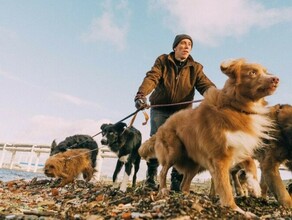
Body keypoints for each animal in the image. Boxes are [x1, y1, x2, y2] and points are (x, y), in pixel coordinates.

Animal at [138, 57, 280, 217]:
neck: (236, 106)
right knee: (163, 172)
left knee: (184, 184)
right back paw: (163, 190)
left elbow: (250, 163)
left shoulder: (238, 147)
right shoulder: (220, 158)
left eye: (265, 72)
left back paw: (188, 198)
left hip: (195, 164)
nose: (276, 79)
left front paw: (254, 186)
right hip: (174, 152)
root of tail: (163, 125)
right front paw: (237, 210)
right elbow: (225, 188)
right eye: (252, 73)